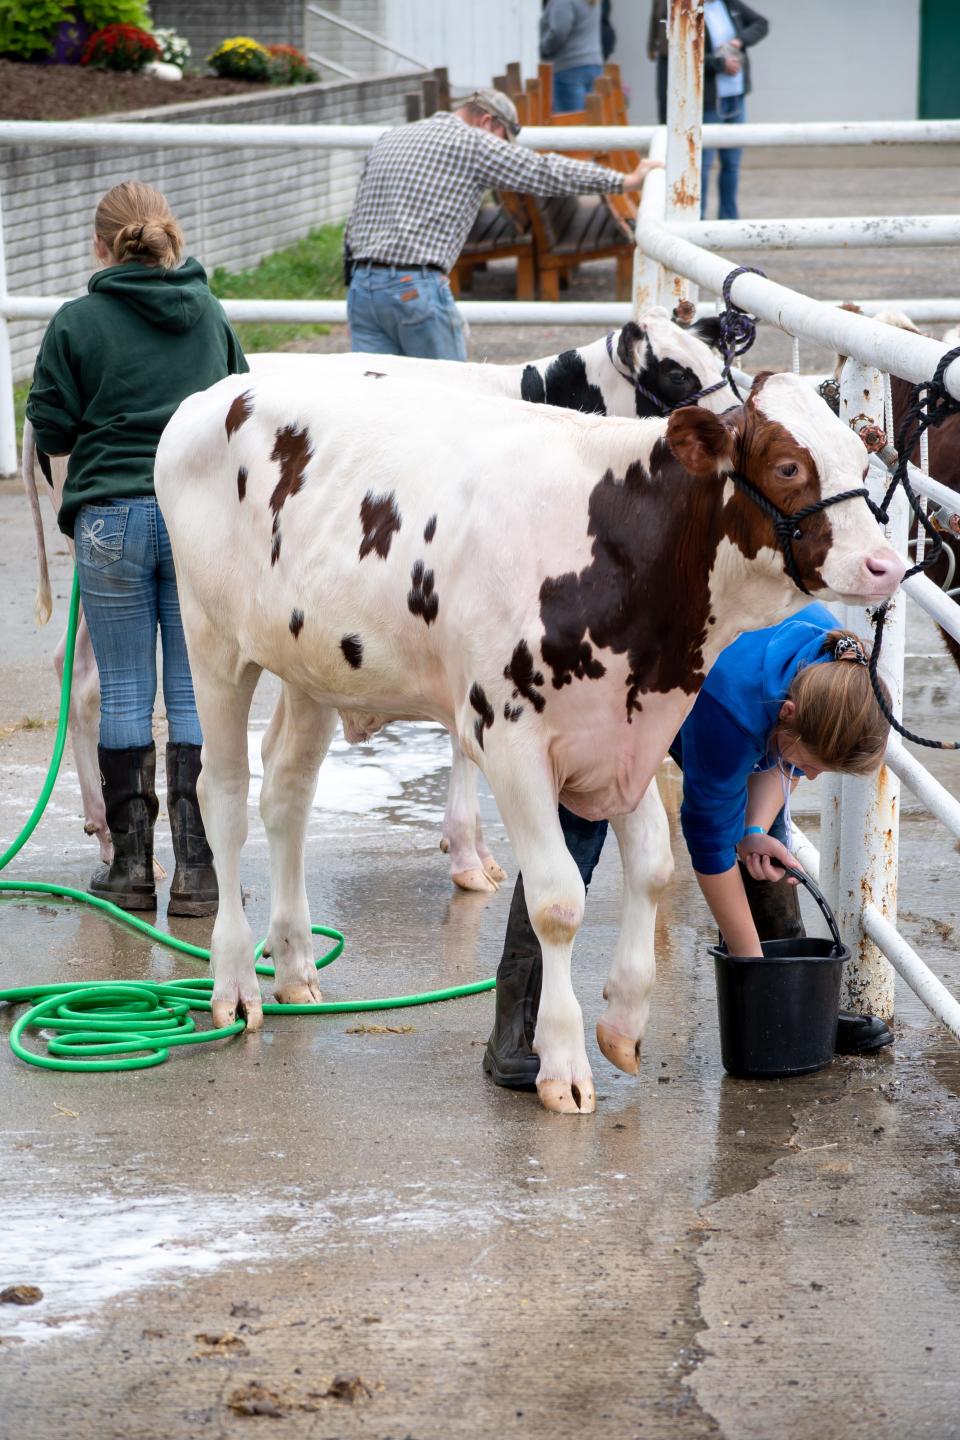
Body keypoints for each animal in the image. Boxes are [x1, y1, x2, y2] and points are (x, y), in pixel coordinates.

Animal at [154, 365, 903, 1117]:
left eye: (861, 459)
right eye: (787, 465)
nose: (885, 564)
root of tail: (218, 392)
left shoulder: (621, 734)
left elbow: (655, 867)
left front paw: (623, 1021)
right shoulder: (508, 738)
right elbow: (557, 902)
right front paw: (562, 1062)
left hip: (312, 664)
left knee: (286, 791)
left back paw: (295, 966)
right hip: (210, 640)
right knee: (223, 796)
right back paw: (234, 985)